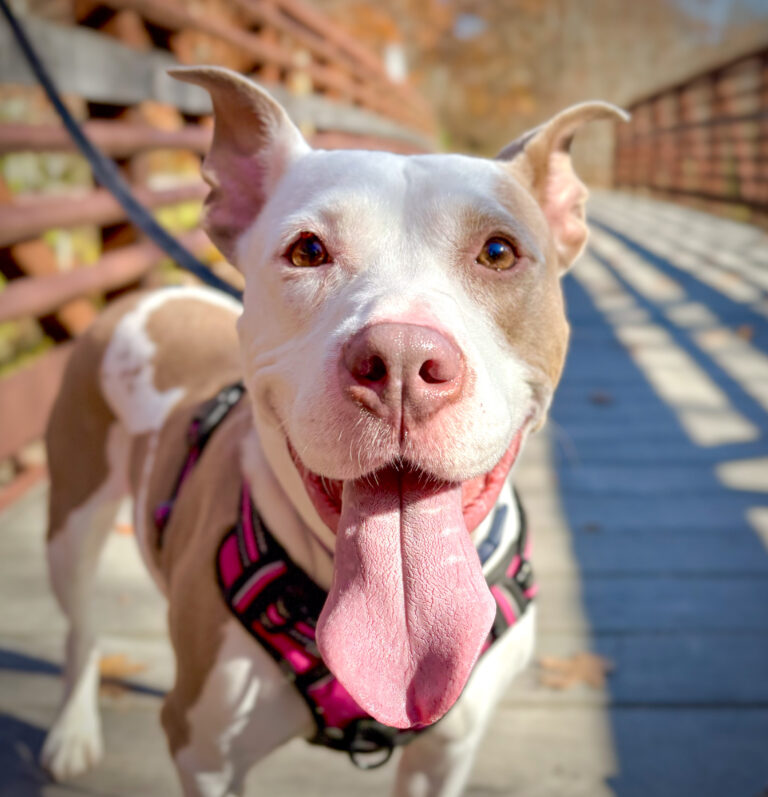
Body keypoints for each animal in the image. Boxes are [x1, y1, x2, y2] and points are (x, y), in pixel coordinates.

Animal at [37, 68, 624, 796]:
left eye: (498, 252)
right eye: (307, 250)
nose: (401, 361)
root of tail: (143, 296)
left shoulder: (445, 755)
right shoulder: (206, 755)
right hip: (71, 521)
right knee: (80, 627)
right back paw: (73, 731)